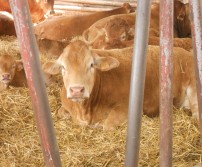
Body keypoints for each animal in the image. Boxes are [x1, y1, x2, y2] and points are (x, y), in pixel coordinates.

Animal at [43, 39, 197, 130]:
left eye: (91, 65)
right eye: (63, 67)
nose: (77, 90)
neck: (84, 111)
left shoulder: (126, 109)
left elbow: (107, 126)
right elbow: (60, 113)